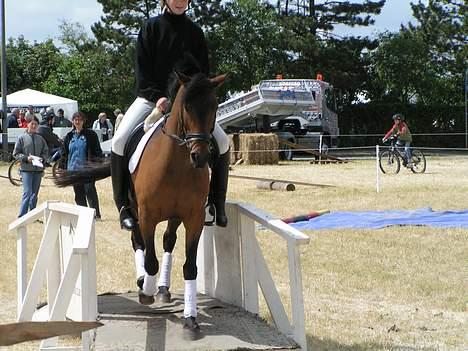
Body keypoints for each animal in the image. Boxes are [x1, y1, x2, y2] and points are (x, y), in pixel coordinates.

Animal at [54, 72, 227, 338]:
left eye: (214, 106)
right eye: (186, 106)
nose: (200, 157)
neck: (176, 165)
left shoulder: (193, 218)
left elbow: (190, 267)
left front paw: (190, 320)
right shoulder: (147, 216)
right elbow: (150, 260)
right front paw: (146, 290)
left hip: (174, 216)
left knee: (168, 240)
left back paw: (163, 288)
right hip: (134, 211)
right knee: (138, 242)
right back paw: (143, 282)